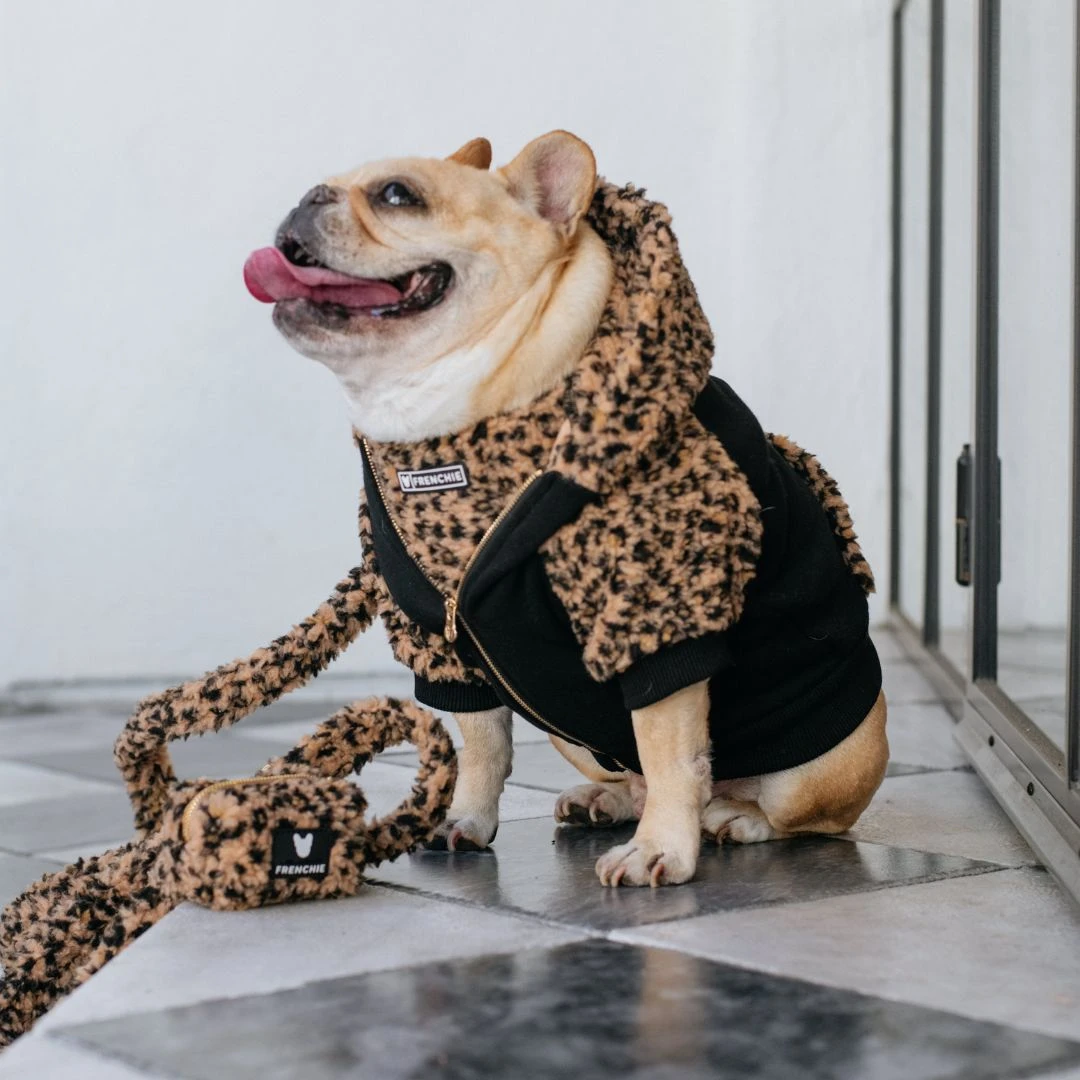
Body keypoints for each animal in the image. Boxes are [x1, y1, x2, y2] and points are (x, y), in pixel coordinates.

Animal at [244, 131, 888, 887]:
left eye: (398, 195)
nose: (307, 198)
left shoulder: (651, 615)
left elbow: (670, 749)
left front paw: (659, 849)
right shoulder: (441, 635)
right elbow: (482, 738)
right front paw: (466, 816)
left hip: (818, 768)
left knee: (789, 813)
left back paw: (734, 816)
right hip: (573, 735)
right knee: (631, 771)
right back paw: (607, 801)